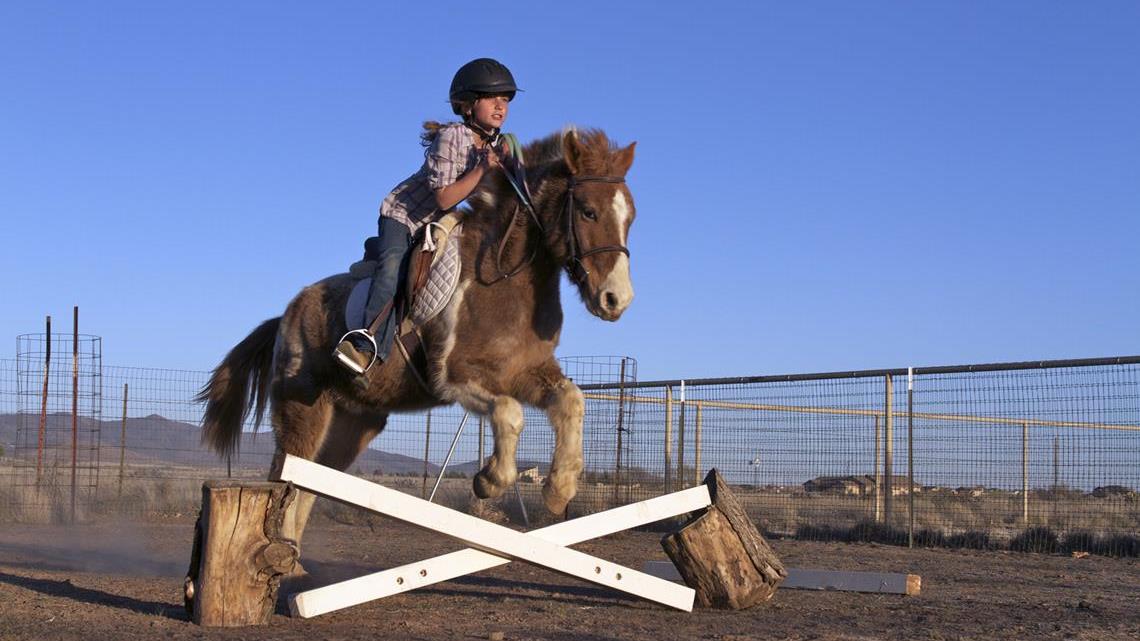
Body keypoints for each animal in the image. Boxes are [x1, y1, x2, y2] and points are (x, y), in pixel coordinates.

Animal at [198, 127, 637, 544]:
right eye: (589, 211)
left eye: (630, 217)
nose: (617, 300)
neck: (504, 276)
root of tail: (285, 316)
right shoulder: (455, 376)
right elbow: (509, 413)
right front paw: (489, 480)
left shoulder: (525, 371)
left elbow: (571, 400)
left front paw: (558, 490)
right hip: (301, 409)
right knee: (286, 478)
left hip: (353, 423)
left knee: (310, 487)